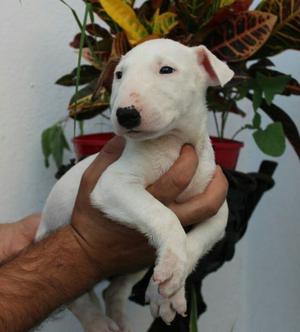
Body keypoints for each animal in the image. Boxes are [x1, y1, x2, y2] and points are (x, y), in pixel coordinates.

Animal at [35, 39, 234, 332]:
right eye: (119, 75)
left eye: (166, 69)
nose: (125, 115)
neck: (172, 143)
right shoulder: (113, 184)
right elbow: (164, 215)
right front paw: (171, 269)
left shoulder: (218, 209)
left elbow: (195, 241)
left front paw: (166, 293)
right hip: (60, 257)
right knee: (78, 301)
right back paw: (100, 324)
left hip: (133, 266)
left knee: (112, 292)